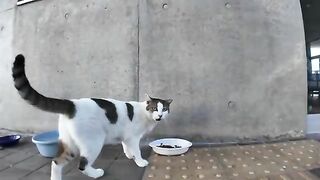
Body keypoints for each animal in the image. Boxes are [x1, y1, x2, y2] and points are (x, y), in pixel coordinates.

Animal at [11, 54, 172, 179]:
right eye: (154, 108)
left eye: (164, 109)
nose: (159, 115)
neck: (145, 114)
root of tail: (72, 103)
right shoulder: (133, 137)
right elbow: (136, 150)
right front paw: (139, 161)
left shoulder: (126, 137)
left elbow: (126, 147)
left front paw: (129, 155)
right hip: (93, 142)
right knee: (82, 165)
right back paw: (96, 173)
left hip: (70, 144)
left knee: (56, 162)